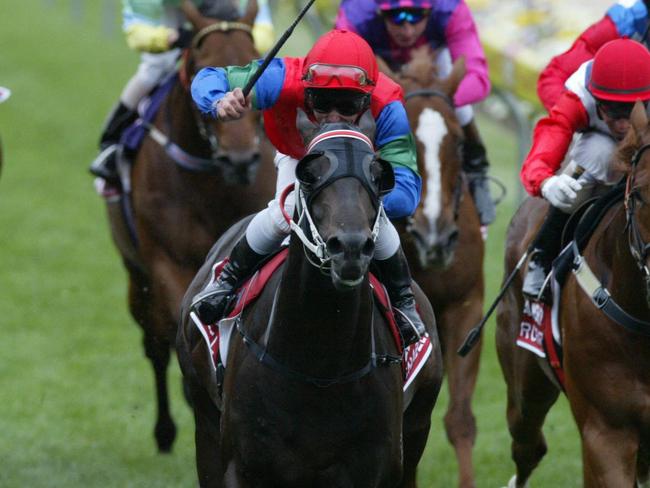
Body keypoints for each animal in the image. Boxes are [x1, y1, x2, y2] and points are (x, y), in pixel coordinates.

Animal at [102, 0, 274, 452]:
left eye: (256, 63)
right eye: (201, 66)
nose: (240, 160)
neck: (212, 183)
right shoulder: (165, 263)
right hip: (135, 275)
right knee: (155, 343)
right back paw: (165, 430)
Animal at [175, 120, 442, 486]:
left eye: (378, 175)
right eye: (309, 174)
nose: (350, 247)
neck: (319, 367)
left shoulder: (377, 467)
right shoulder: (240, 465)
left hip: (417, 429)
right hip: (205, 422)